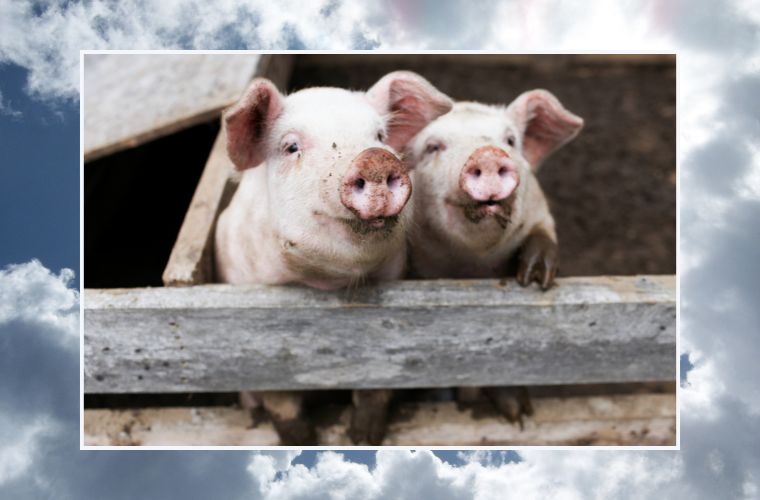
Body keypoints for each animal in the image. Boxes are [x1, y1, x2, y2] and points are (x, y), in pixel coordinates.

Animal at [214, 71, 453, 445]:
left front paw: (363, 438)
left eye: (379, 136)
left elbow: (376, 388)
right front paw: (304, 440)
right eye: (291, 146)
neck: (327, 282)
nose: (375, 158)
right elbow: (279, 397)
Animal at [405, 90, 583, 422]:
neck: (473, 265)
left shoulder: (541, 213)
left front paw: (535, 277)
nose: (487, 153)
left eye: (510, 140)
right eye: (433, 147)